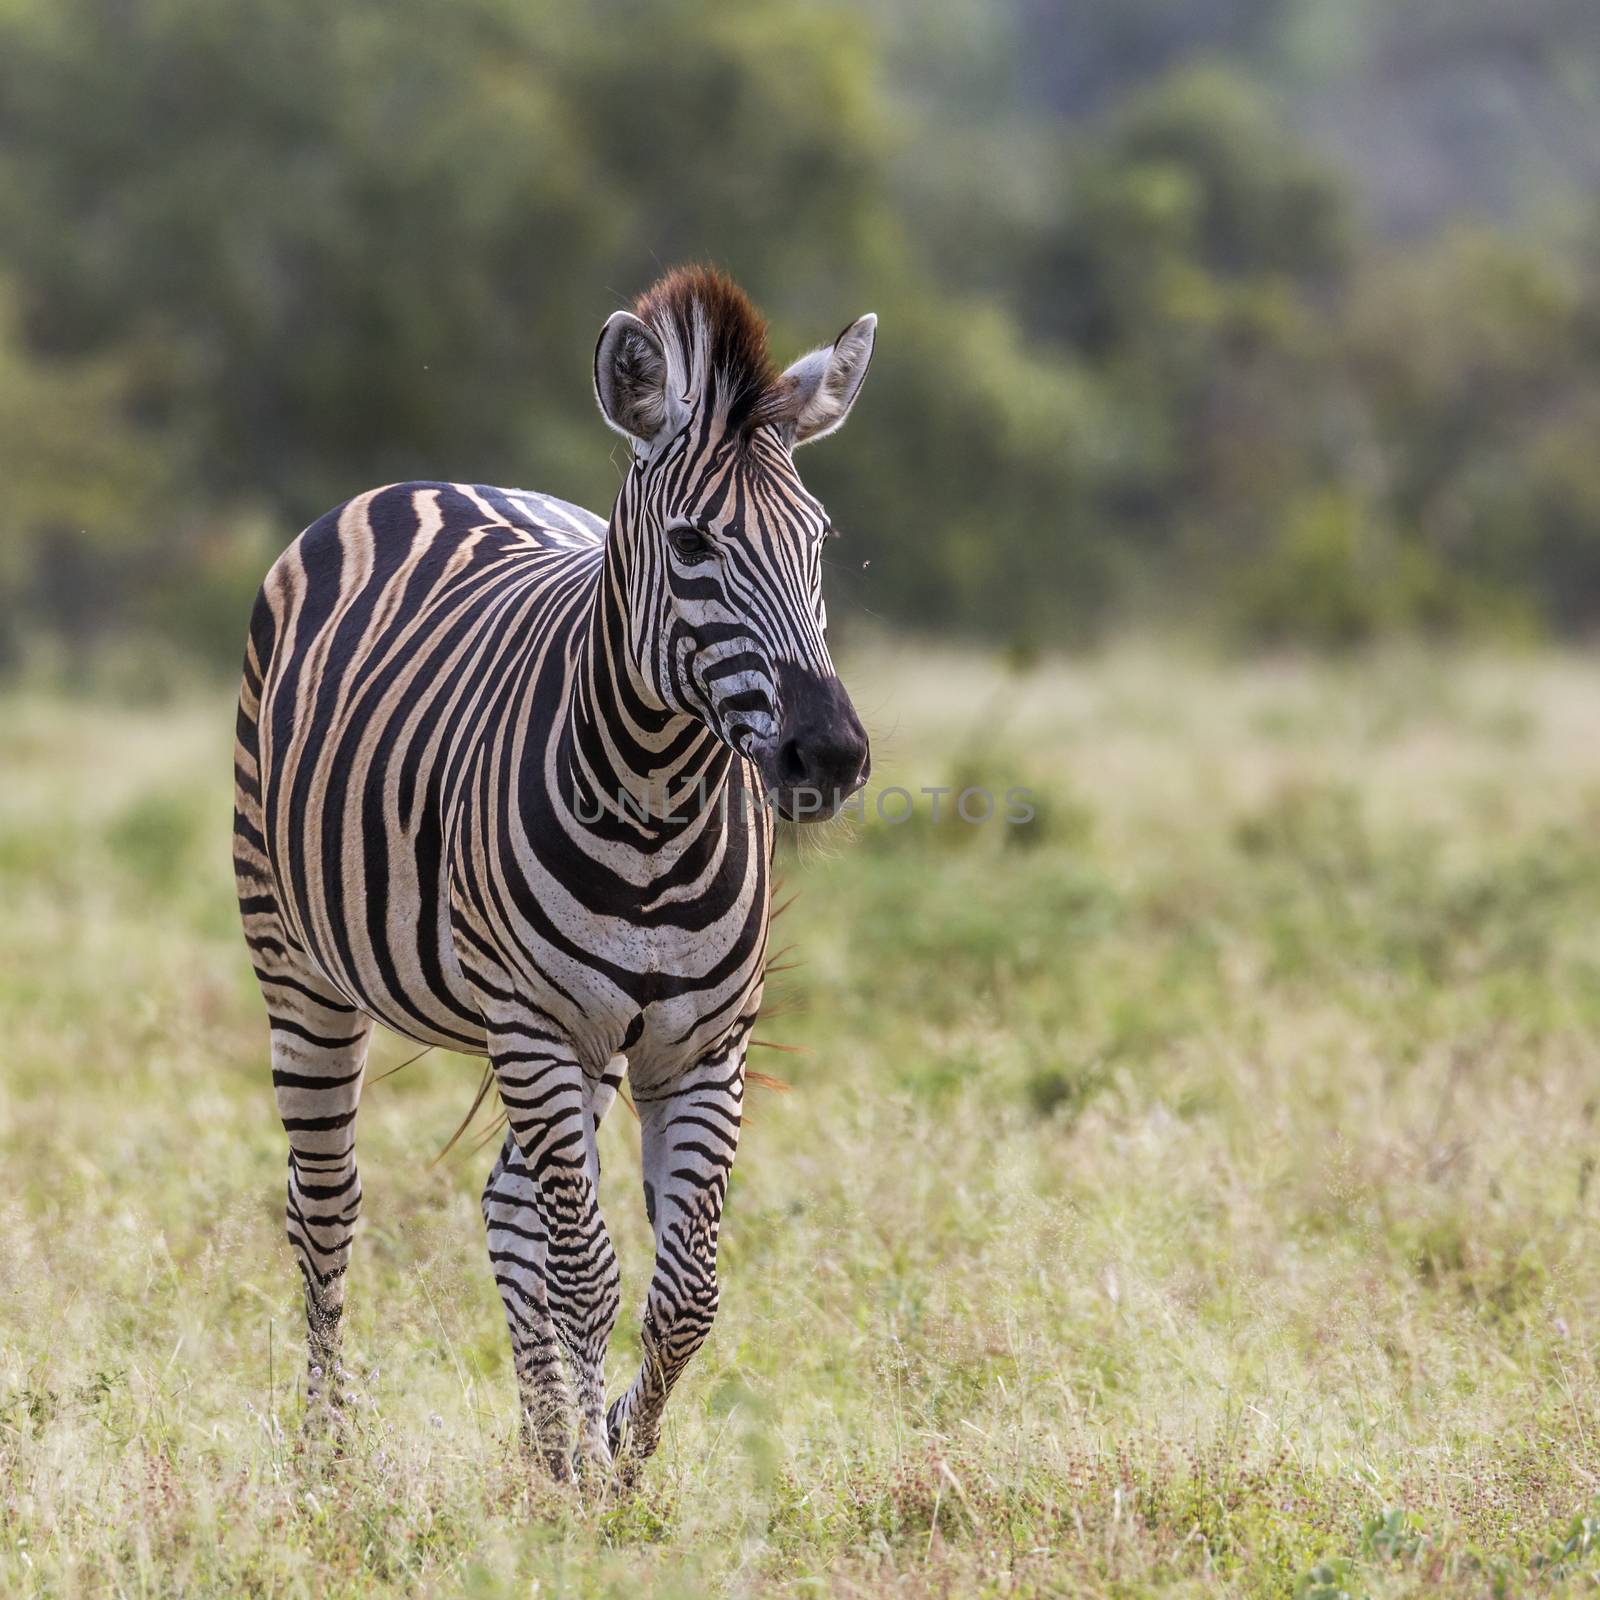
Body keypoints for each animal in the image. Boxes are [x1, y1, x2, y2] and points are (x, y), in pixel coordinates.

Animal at [233, 268, 876, 1478]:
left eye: (820, 541)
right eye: (692, 545)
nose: (830, 756)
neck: (659, 808)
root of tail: (429, 483)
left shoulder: (701, 1048)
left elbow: (684, 1295)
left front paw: (613, 1457)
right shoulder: (535, 1025)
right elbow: (590, 1277)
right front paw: (589, 1465)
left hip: (584, 1047)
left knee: (506, 1209)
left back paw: (539, 1447)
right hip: (303, 966)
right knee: (324, 1204)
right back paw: (330, 1455)